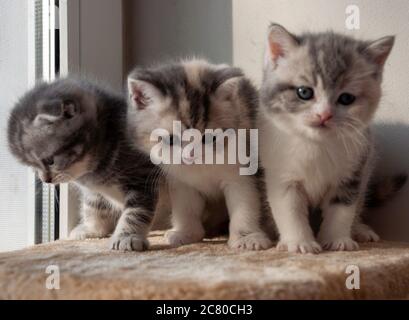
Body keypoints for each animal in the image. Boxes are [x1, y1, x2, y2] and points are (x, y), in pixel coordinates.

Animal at [7, 77, 161, 250]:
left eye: (49, 160)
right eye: (32, 166)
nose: (46, 180)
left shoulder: (142, 176)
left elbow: (136, 211)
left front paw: (127, 236)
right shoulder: (94, 191)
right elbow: (94, 205)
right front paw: (92, 229)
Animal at [126, 59, 272, 250]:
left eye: (209, 138)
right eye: (171, 139)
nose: (190, 155)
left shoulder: (243, 174)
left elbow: (244, 204)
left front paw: (246, 238)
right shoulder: (180, 181)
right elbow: (186, 207)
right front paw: (186, 233)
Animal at [258, 24, 396, 252]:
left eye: (346, 98)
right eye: (304, 92)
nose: (324, 115)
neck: (316, 145)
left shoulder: (353, 172)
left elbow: (342, 209)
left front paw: (337, 240)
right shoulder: (282, 175)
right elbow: (290, 210)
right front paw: (300, 242)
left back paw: (360, 229)